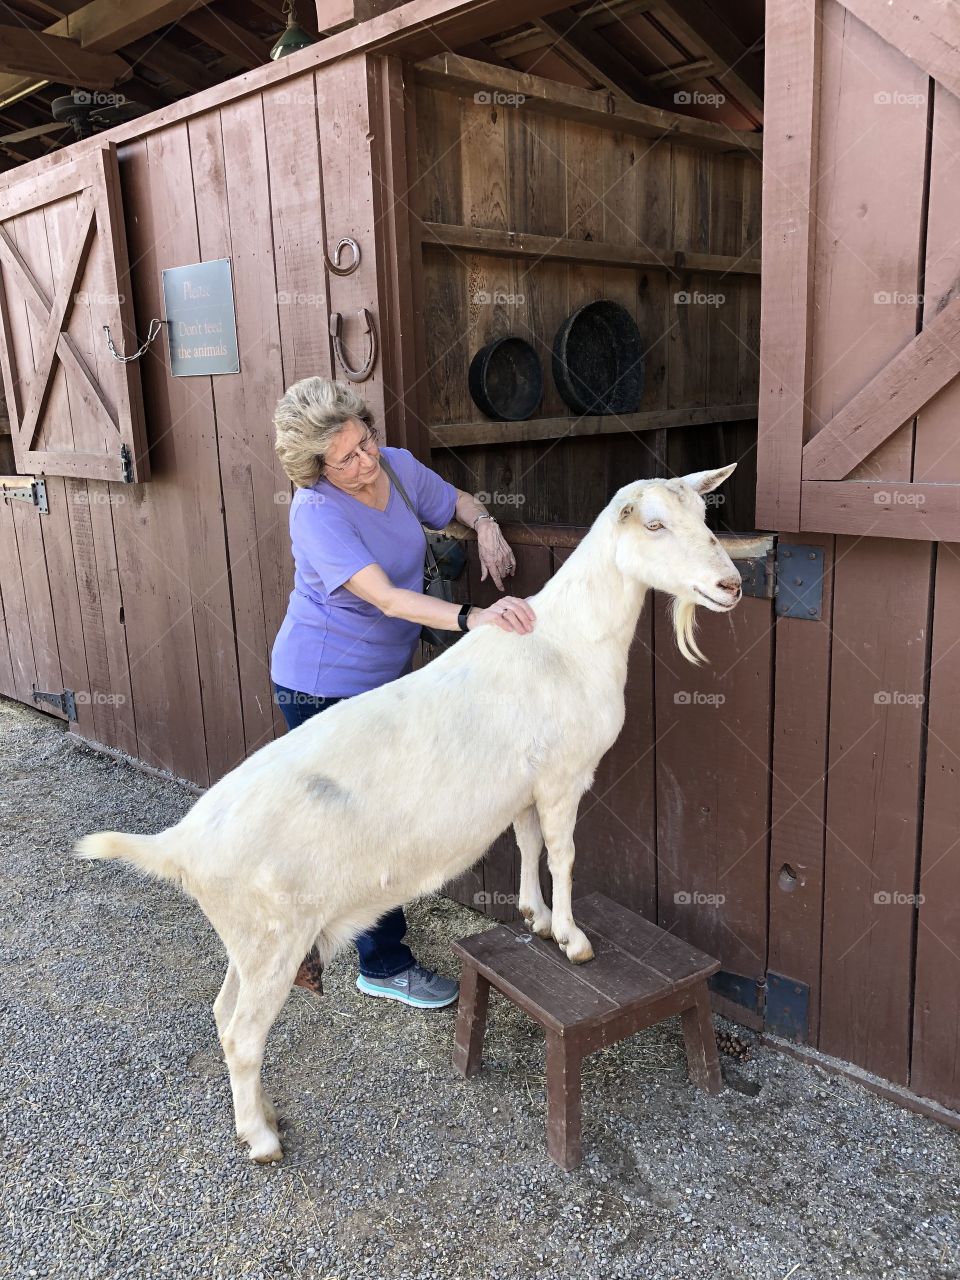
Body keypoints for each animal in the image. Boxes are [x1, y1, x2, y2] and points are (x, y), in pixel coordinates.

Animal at [77, 465, 742, 1167]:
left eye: (705, 516)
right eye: (655, 524)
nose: (731, 585)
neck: (568, 641)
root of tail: (179, 846)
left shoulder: (528, 785)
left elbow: (529, 844)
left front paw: (534, 917)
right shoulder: (564, 775)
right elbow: (563, 853)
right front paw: (572, 939)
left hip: (247, 938)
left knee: (220, 1010)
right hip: (274, 937)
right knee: (242, 1033)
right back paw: (261, 1139)